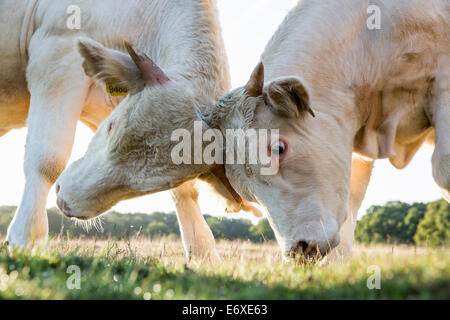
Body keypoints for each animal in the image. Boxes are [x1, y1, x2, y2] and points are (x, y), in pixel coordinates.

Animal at [0, 0, 260, 256]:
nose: (65, 201)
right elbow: (47, 160)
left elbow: (186, 192)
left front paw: (202, 253)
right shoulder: (56, 56)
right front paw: (27, 237)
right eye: (111, 127)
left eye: (146, 187)